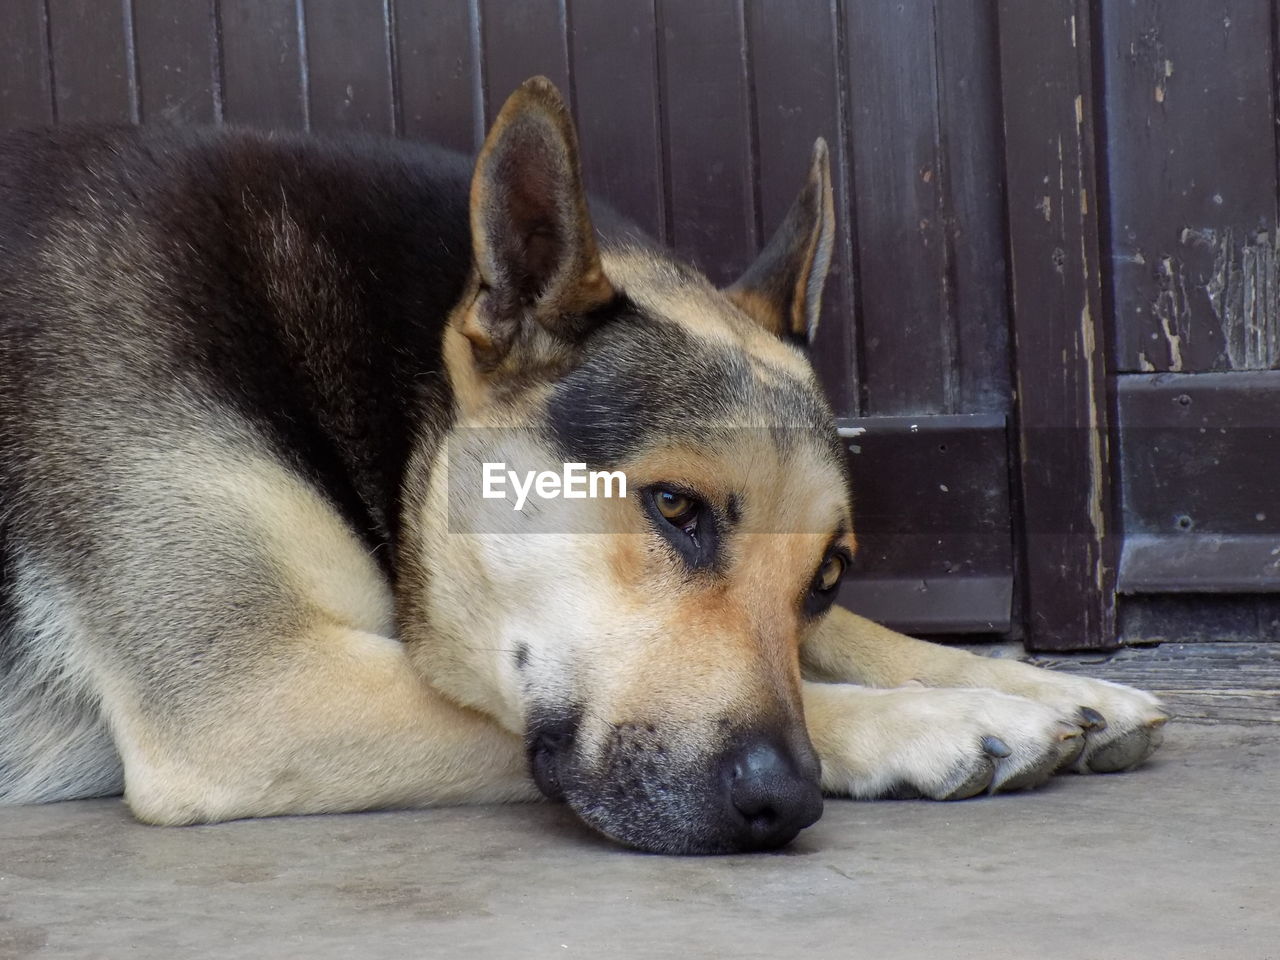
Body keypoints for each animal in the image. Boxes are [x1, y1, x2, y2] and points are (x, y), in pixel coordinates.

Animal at [0, 77, 1167, 855]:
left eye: (828, 574)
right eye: (673, 507)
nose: (784, 805)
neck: (396, 403)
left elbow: (854, 641)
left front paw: (1054, 689)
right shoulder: (251, 691)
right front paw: (942, 722)